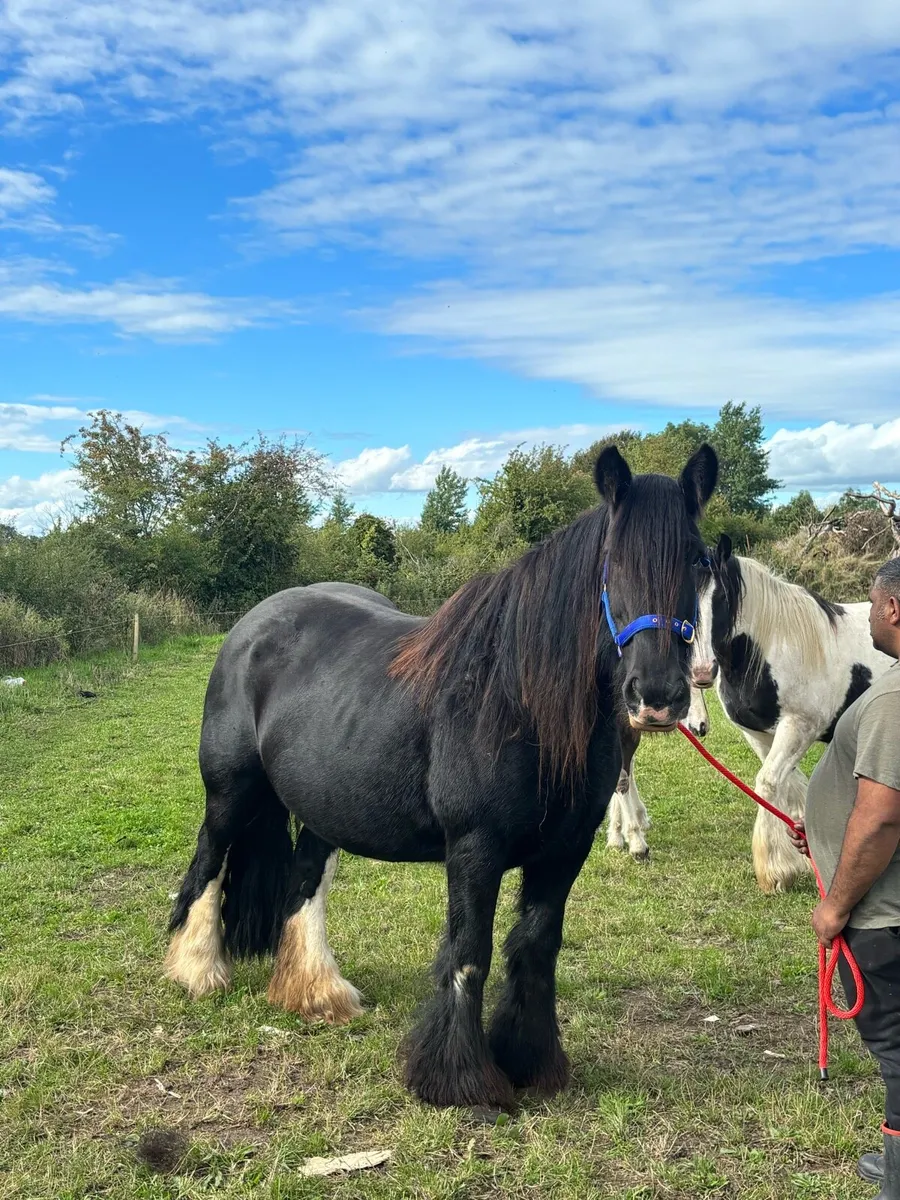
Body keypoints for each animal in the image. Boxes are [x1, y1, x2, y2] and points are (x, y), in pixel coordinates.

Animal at [690, 533, 894, 893]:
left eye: (723, 597)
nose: (701, 672)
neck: (771, 646)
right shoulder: (759, 734)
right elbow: (788, 786)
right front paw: (801, 857)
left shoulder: (799, 727)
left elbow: (769, 783)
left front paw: (775, 872)